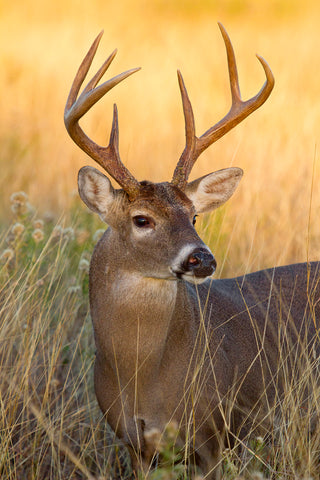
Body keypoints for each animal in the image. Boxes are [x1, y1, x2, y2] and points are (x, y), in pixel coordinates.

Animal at [65, 24, 320, 478]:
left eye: (195, 216)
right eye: (142, 219)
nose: (202, 258)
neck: (142, 377)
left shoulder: (214, 435)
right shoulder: (135, 446)